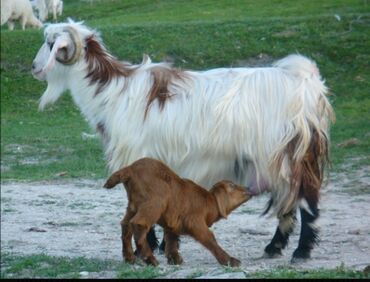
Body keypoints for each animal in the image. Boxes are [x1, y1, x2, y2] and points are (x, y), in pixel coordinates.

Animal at [30, 20, 334, 262]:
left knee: (305, 201)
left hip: (289, 153)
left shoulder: (138, 156)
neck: (113, 92)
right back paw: (274, 248)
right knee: (290, 201)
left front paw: (146, 248)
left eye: (50, 43)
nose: (34, 67)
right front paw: (161, 247)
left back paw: (300, 252)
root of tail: (307, 81)